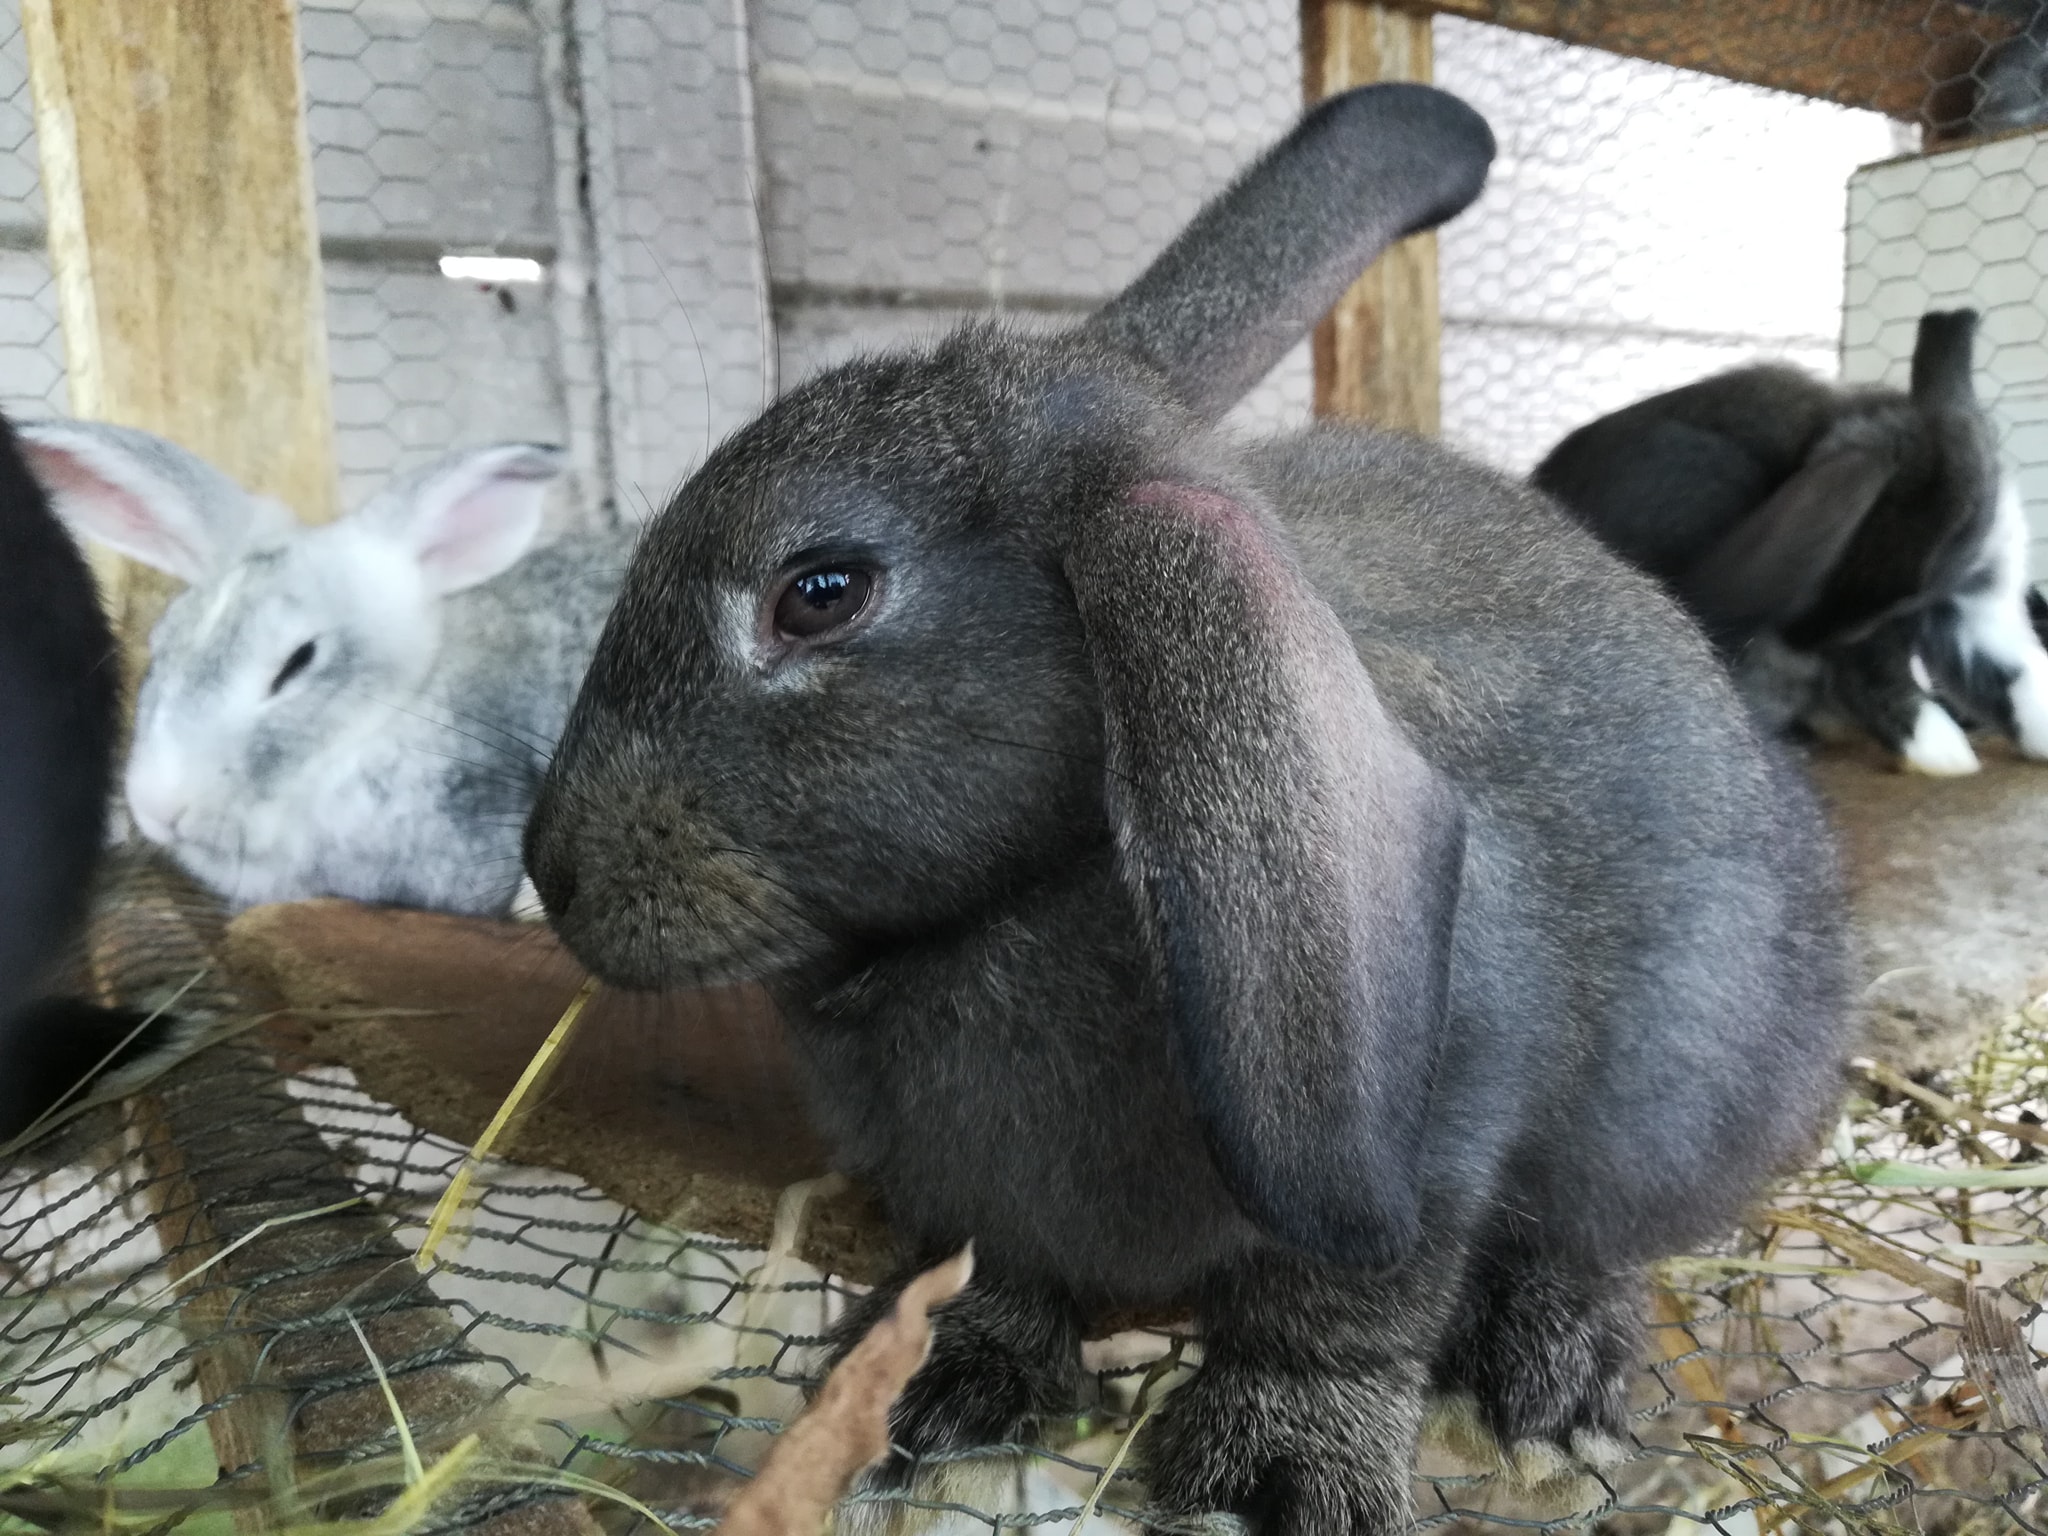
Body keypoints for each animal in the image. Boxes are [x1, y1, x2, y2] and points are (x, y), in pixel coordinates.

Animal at [521, 83, 1851, 1536]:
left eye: (819, 592)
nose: (552, 869)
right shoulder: (971, 1203)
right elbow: (990, 1274)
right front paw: (937, 1395)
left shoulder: (1428, 1156)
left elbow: (1334, 1315)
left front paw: (1277, 1478)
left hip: (1681, 1091)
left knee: (1604, 1235)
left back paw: (1553, 1388)